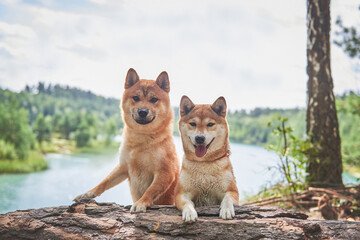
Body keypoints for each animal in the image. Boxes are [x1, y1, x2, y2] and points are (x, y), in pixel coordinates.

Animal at [74, 68, 180, 213]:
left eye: (154, 99)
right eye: (136, 98)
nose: (142, 111)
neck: (142, 138)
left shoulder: (166, 172)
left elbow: (150, 190)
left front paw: (141, 203)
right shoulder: (124, 166)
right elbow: (105, 181)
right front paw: (89, 193)